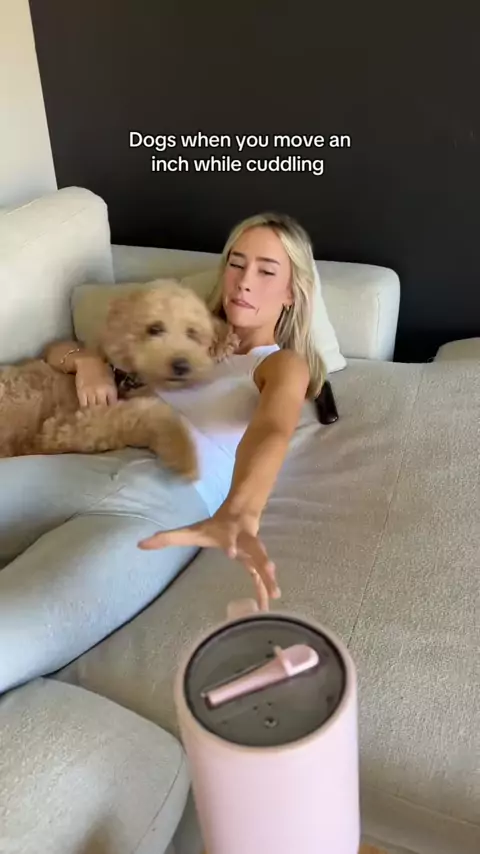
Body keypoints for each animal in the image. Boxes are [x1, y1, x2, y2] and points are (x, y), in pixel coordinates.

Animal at [0, 280, 238, 480]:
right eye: (154, 328)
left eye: (192, 333)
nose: (181, 365)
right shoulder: (70, 424)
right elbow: (143, 416)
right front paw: (183, 452)